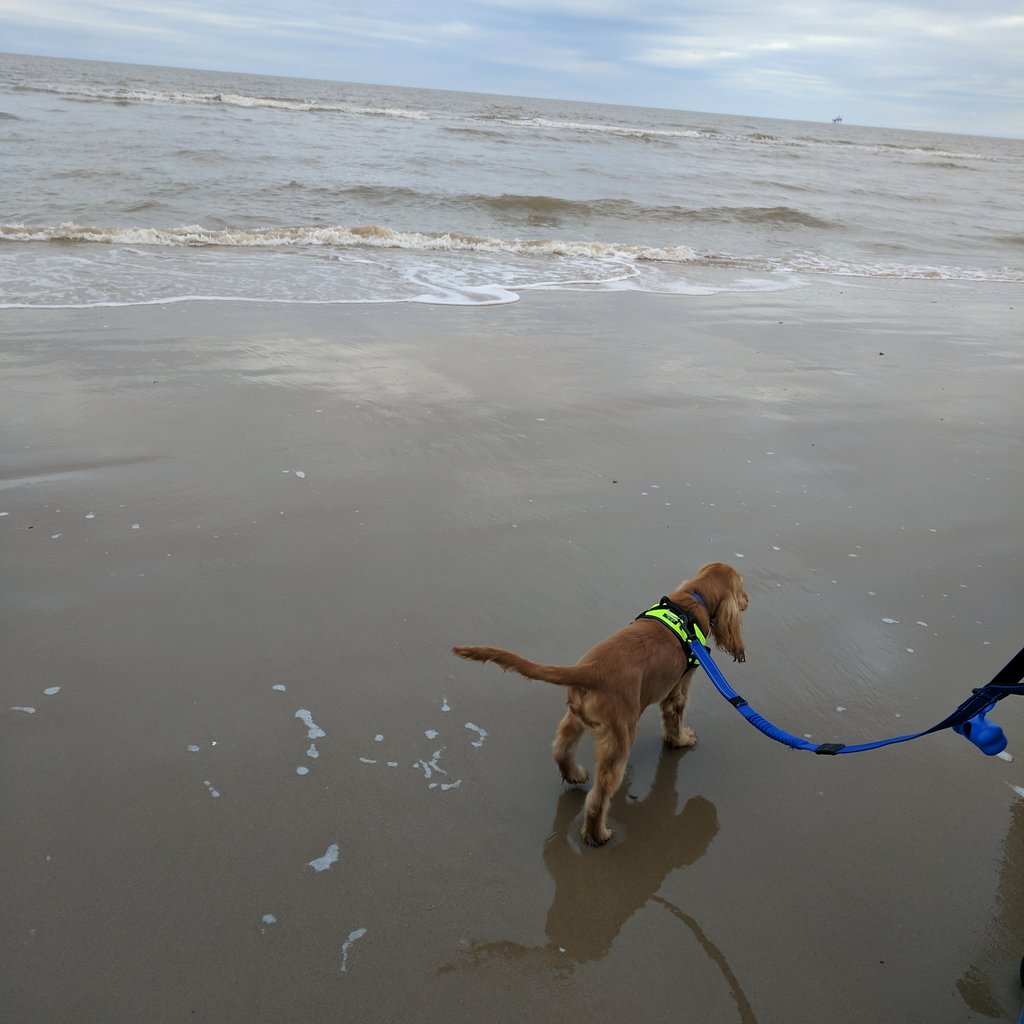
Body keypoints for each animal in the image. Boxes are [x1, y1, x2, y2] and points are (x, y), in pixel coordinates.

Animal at [452, 565, 749, 843]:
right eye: (742, 587)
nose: (747, 601)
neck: (693, 597)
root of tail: (590, 671)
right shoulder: (678, 688)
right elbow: (675, 719)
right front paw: (683, 739)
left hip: (575, 717)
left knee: (560, 749)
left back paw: (574, 775)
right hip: (620, 735)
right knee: (598, 796)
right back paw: (598, 835)